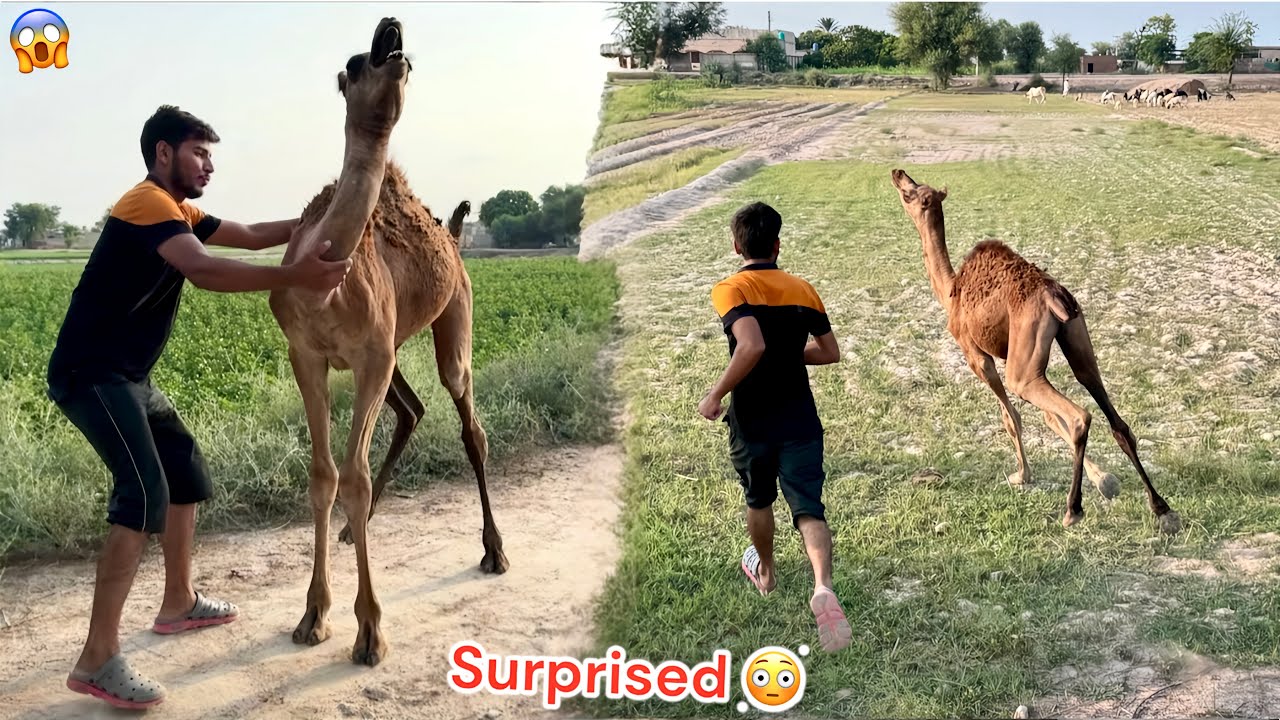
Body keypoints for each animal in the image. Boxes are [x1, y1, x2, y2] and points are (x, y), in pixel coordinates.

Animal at [267, 17, 506, 668]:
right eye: (354, 64)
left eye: (400, 60)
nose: (390, 31)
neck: (326, 285)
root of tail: (455, 235)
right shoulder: (310, 356)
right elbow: (324, 475)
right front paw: (312, 615)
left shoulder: (370, 357)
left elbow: (353, 475)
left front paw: (369, 630)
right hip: (393, 347)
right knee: (412, 410)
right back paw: (357, 529)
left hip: (454, 318)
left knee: (468, 422)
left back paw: (495, 549)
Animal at [888, 168, 1181, 536]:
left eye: (910, 193)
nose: (898, 172)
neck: (950, 290)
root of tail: (1053, 294)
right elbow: (1047, 418)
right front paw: (1106, 480)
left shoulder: (976, 355)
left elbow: (1011, 417)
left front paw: (1022, 475)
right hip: (1076, 339)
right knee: (1111, 412)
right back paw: (1162, 509)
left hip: (1023, 368)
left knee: (1076, 416)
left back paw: (1072, 509)